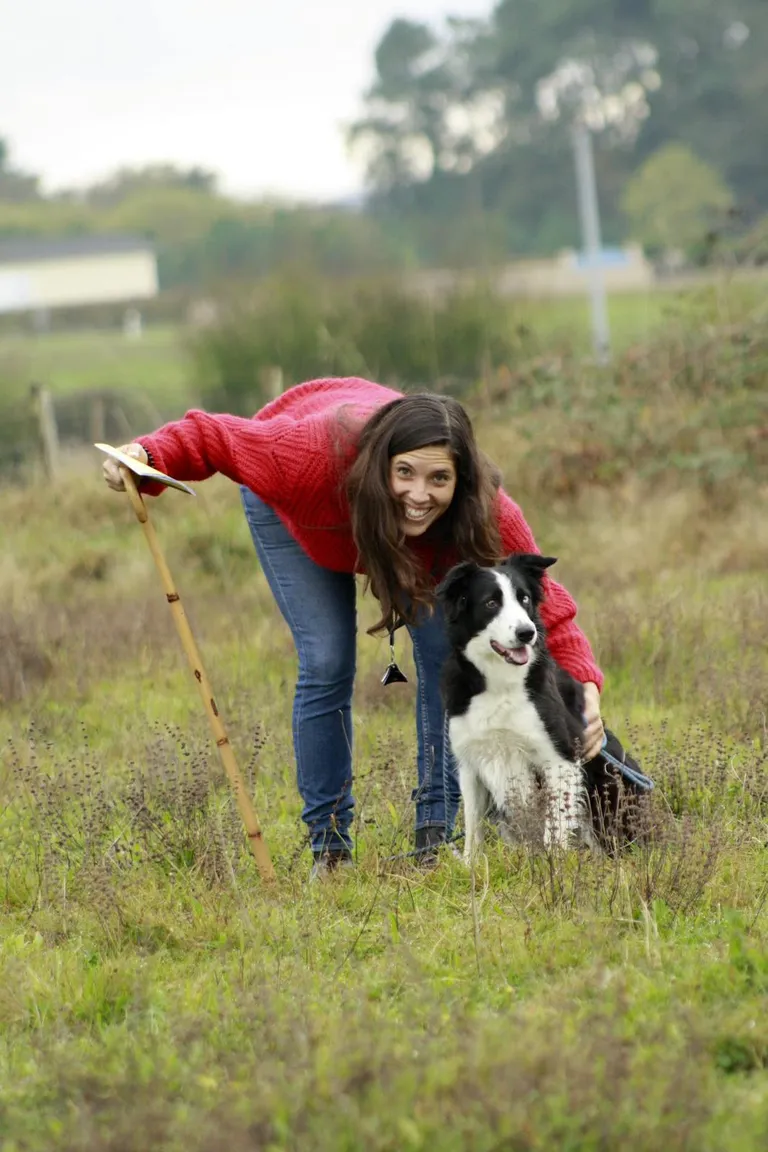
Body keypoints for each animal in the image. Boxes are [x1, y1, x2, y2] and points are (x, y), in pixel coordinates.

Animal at [437, 550, 598, 866]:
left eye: (524, 599)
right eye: (491, 603)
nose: (527, 632)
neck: (500, 682)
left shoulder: (559, 759)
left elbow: (554, 830)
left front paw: (553, 868)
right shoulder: (470, 763)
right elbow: (472, 827)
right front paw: (471, 866)